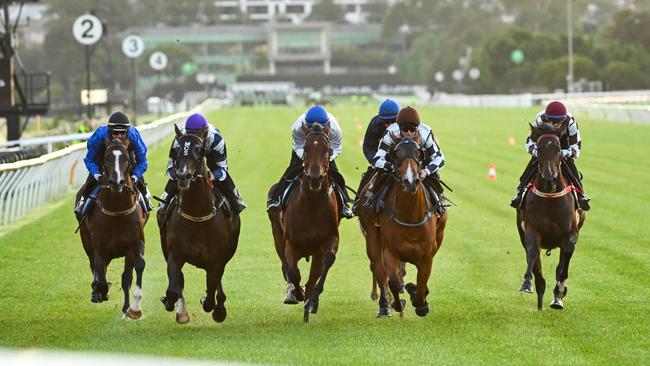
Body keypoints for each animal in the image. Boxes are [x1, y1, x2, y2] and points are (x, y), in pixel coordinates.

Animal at [76, 137, 147, 318]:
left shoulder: (134, 244)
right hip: (86, 242)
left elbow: (131, 273)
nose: (117, 182)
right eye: (107, 158)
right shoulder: (98, 248)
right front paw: (101, 292)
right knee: (94, 267)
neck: (117, 212)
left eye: (126, 159)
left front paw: (131, 308)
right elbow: (100, 277)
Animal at [158, 126, 239, 324]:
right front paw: (173, 305)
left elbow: (210, 293)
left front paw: (215, 307)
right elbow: (173, 289)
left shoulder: (217, 257)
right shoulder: (174, 253)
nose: (183, 176)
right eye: (176, 150)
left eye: (198, 150)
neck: (197, 216)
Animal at [268, 123, 342, 324]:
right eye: (306, 149)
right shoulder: (290, 243)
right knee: (286, 266)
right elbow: (293, 271)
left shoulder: (329, 239)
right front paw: (296, 294)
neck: (312, 205)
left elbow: (326, 263)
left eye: (326, 150)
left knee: (311, 277)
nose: (315, 178)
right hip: (277, 234)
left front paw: (311, 302)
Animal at [360, 134, 446, 318]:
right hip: (371, 235)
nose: (410, 181)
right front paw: (398, 303)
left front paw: (419, 299)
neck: (410, 217)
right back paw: (384, 305)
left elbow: (421, 284)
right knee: (378, 268)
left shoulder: (427, 256)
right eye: (396, 154)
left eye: (419, 154)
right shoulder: (390, 251)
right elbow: (392, 279)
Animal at [512, 121, 584, 310]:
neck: (551, 198)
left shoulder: (571, 235)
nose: (549, 179)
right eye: (539, 148)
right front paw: (527, 283)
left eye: (558, 149)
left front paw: (559, 293)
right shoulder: (531, 231)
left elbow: (563, 268)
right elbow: (533, 257)